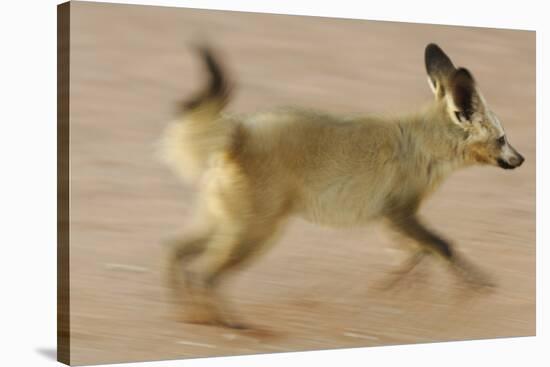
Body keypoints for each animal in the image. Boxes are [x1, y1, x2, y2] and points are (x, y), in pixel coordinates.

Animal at [158, 42, 528, 328]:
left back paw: (188, 313)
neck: (422, 142)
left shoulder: (390, 217)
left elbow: (418, 252)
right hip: (255, 233)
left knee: (176, 252)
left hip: (226, 225)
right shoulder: (399, 212)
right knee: (206, 274)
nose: (522, 159)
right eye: (503, 139)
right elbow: (443, 246)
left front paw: (400, 285)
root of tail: (239, 132)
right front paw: (475, 284)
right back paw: (227, 322)